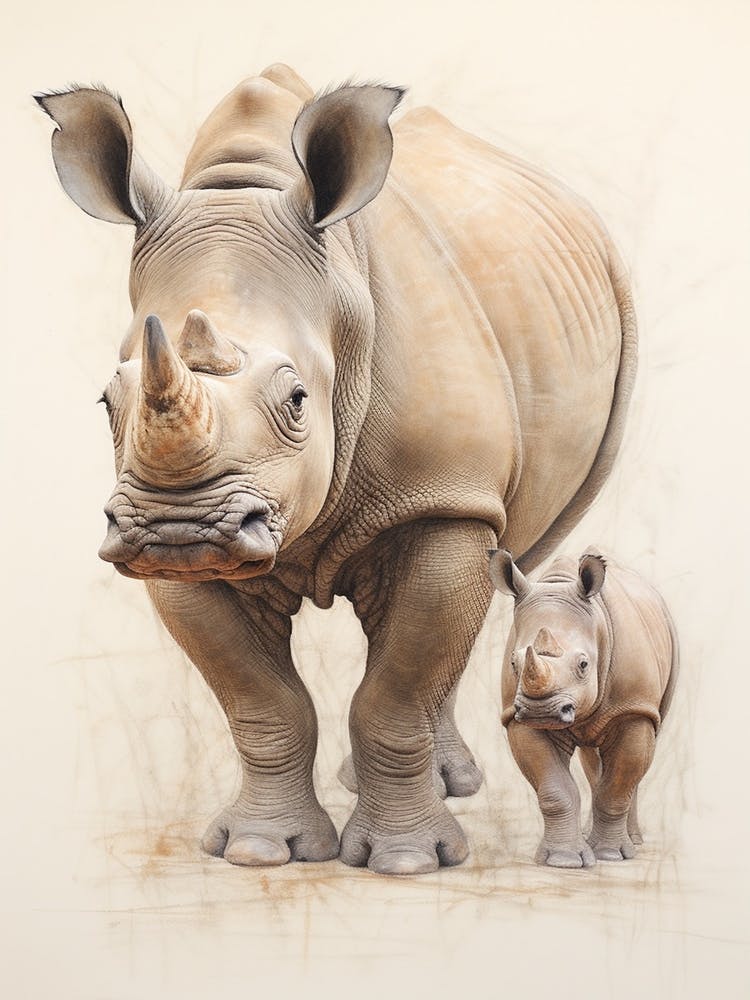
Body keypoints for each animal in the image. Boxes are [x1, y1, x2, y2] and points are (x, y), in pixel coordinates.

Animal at [36, 63, 636, 875]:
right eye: (107, 401)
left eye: (298, 399)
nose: (177, 528)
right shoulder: (167, 550)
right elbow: (259, 700)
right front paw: (261, 850)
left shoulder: (442, 495)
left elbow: (399, 687)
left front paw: (407, 862)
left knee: (508, 559)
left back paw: (451, 784)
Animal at [489, 549, 678, 867]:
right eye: (514, 663)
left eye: (583, 664)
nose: (541, 711)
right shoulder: (515, 717)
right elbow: (555, 790)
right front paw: (563, 860)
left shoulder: (634, 708)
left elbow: (618, 786)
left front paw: (610, 855)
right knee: (593, 760)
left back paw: (633, 842)